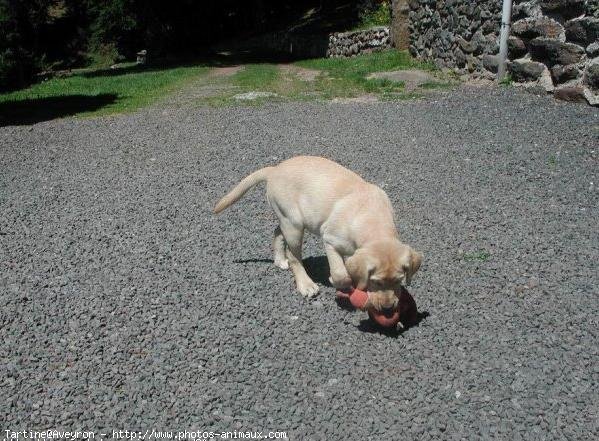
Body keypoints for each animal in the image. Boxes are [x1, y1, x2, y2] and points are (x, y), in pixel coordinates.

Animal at [213, 156, 424, 312]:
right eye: (376, 282)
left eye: (399, 281)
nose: (389, 308)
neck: (373, 219)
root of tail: (275, 169)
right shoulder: (330, 240)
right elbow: (340, 273)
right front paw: (336, 280)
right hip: (294, 224)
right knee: (294, 257)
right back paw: (305, 284)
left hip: (287, 218)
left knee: (277, 231)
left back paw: (279, 260)